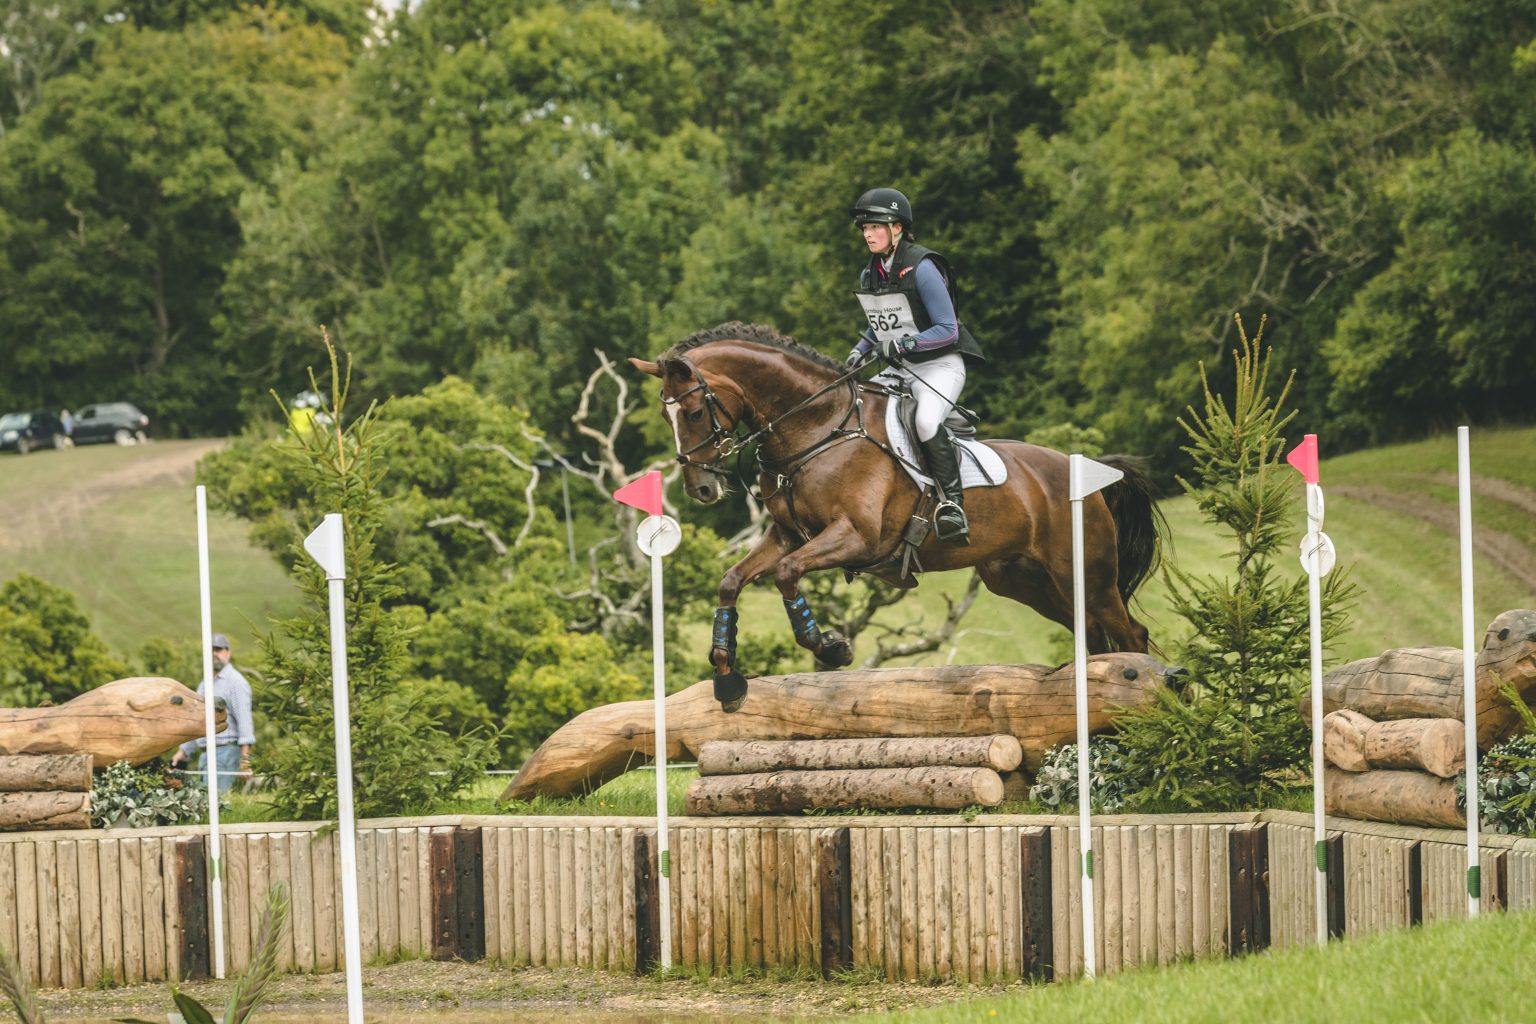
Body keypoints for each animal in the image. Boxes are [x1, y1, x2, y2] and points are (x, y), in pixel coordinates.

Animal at [631, 322, 1164, 713]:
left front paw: (831, 647)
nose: (701, 489)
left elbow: (787, 574)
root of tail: (1088, 476)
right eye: (665, 417)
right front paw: (727, 679)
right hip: (1025, 581)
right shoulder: (786, 535)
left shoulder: (858, 537)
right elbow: (731, 581)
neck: (816, 429)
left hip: (1088, 575)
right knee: (1092, 635)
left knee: (1130, 634)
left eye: (694, 412)